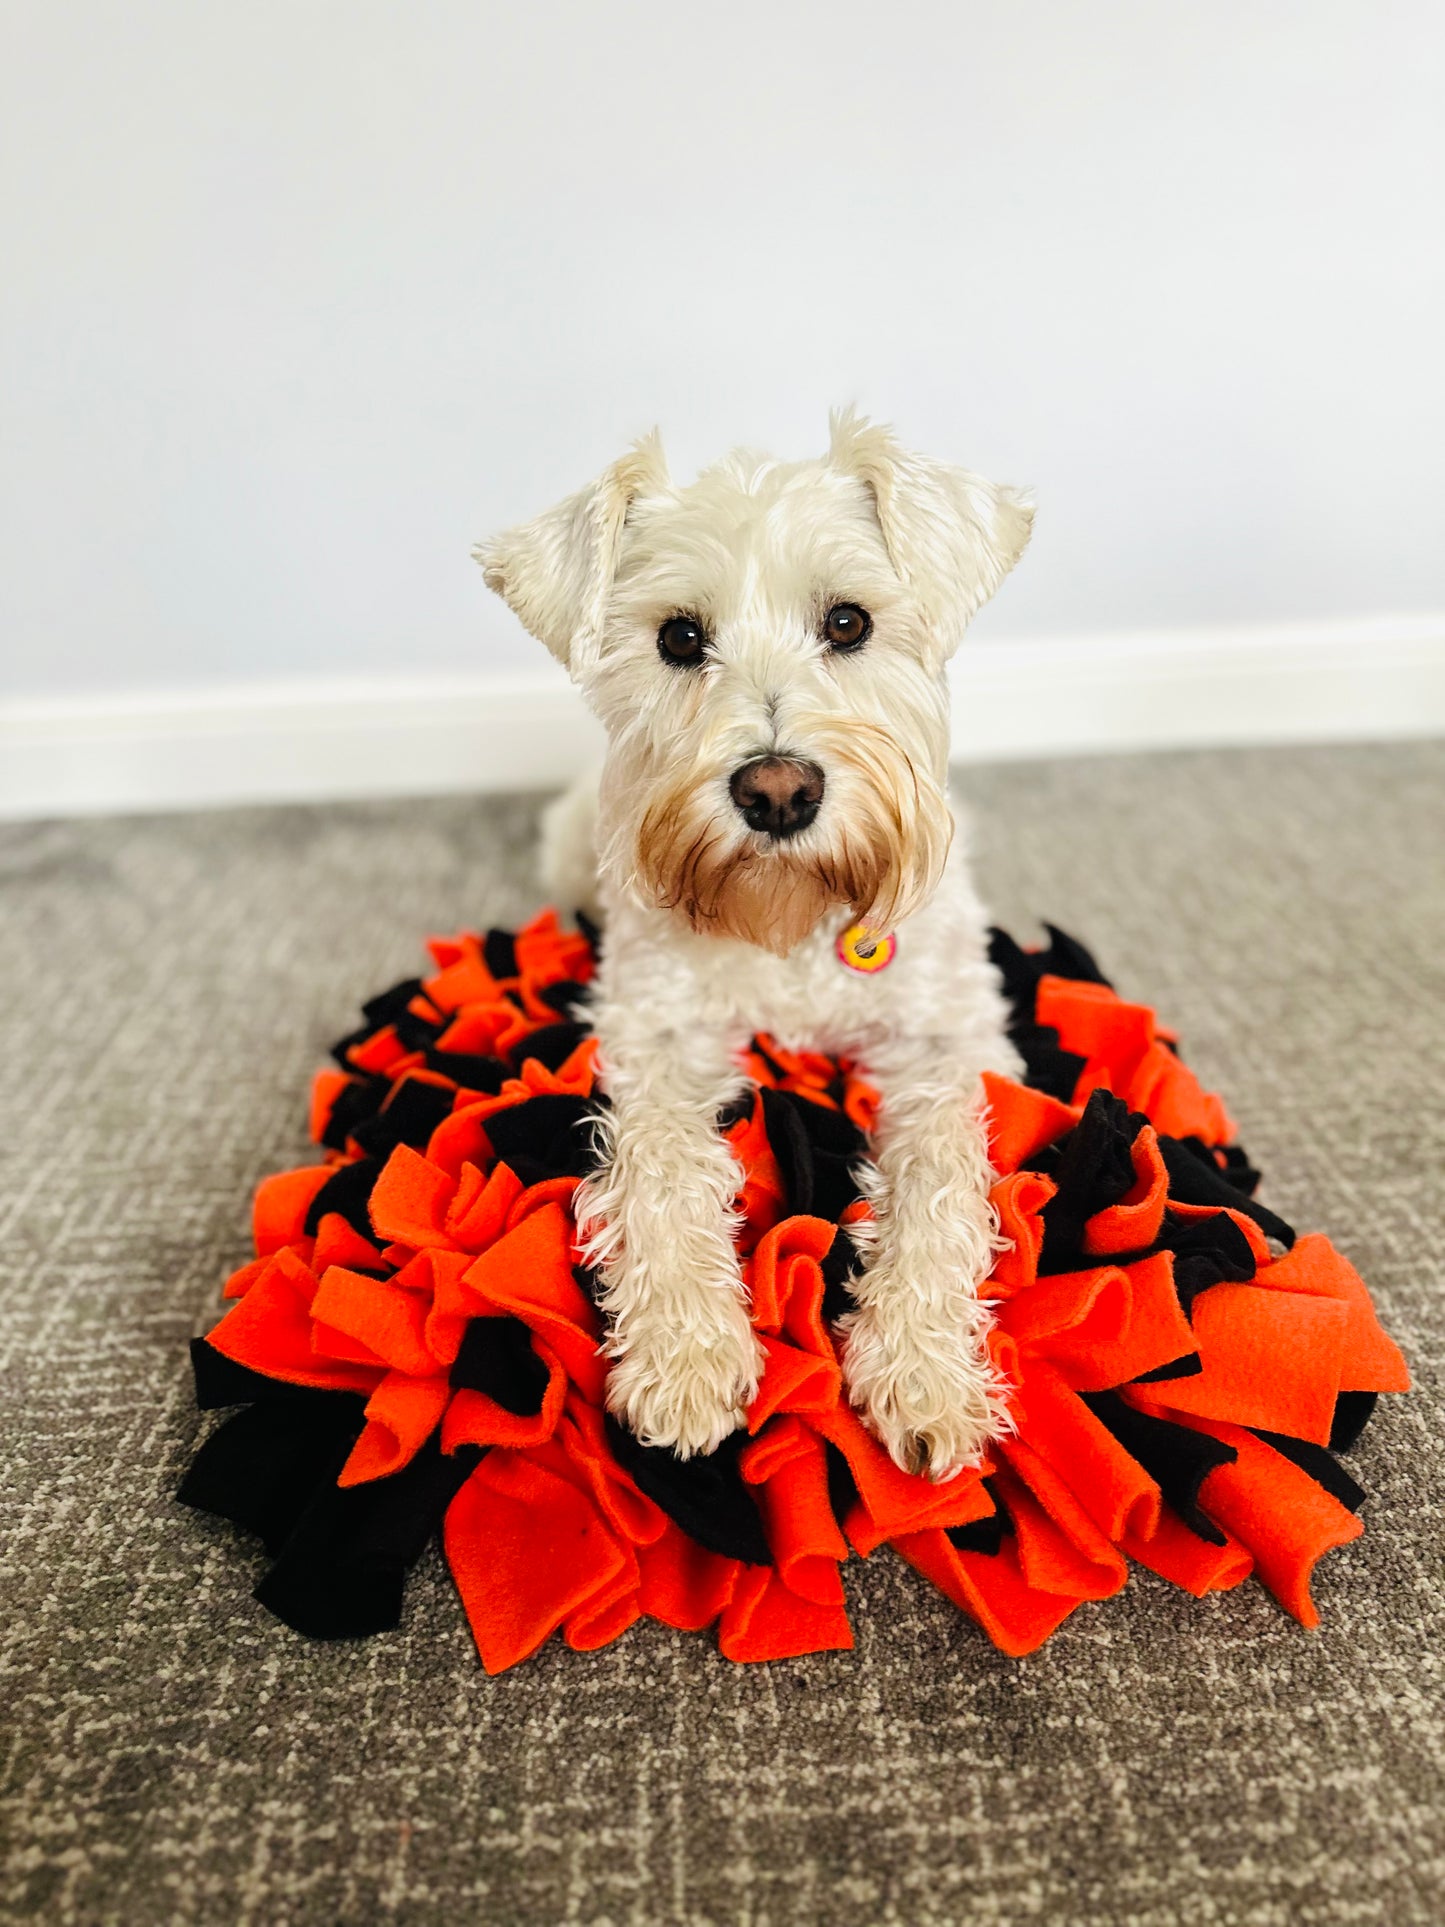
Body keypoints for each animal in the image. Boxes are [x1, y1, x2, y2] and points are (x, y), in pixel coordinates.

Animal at [481, 414, 1032, 1479]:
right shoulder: (653, 1036)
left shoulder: (944, 1041)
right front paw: (685, 1356)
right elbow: (662, 1170)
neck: (790, 922)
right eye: (678, 637)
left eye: (849, 622)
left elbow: (936, 1182)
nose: (777, 792)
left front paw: (924, 1372)